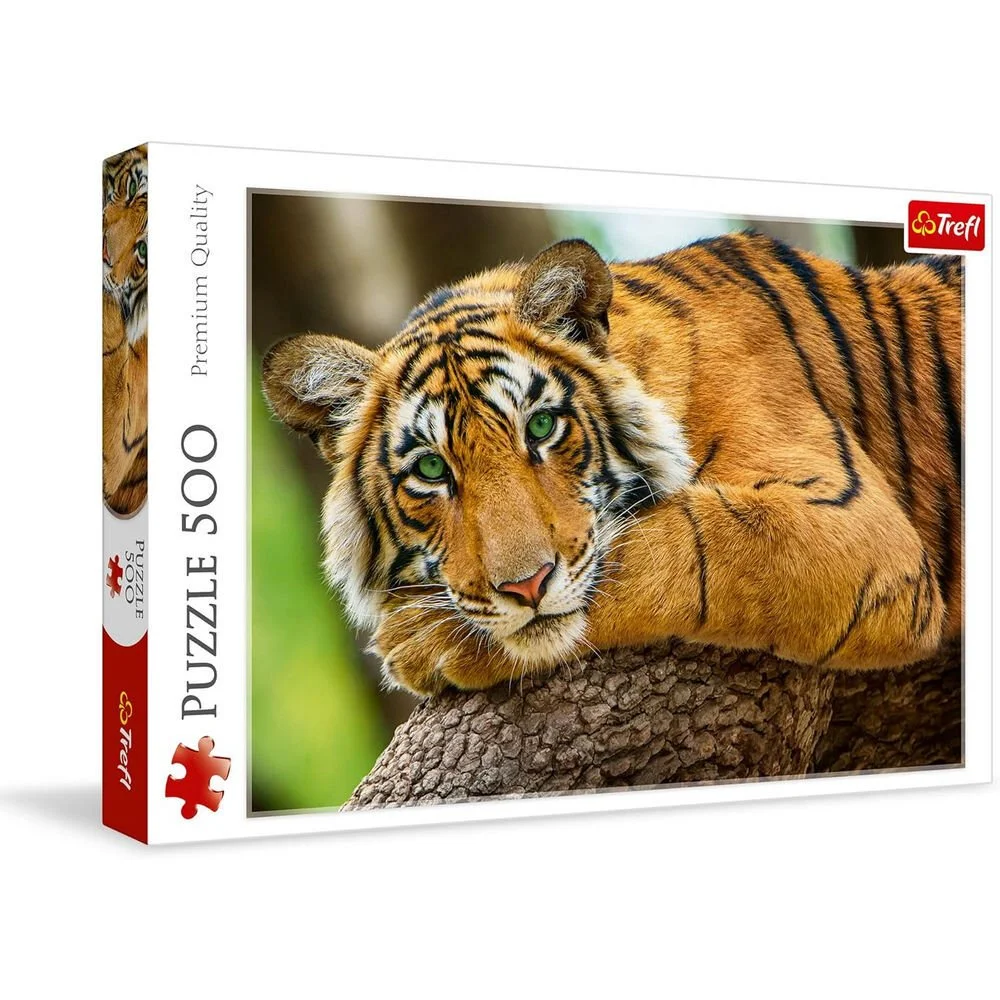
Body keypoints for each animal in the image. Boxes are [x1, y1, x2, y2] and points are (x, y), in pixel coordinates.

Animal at [262, 232, 962, 696]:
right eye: (432, 471)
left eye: (541, 427)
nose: (525, 587)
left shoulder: (852, 524)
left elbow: (675, 546)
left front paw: (419, 640)